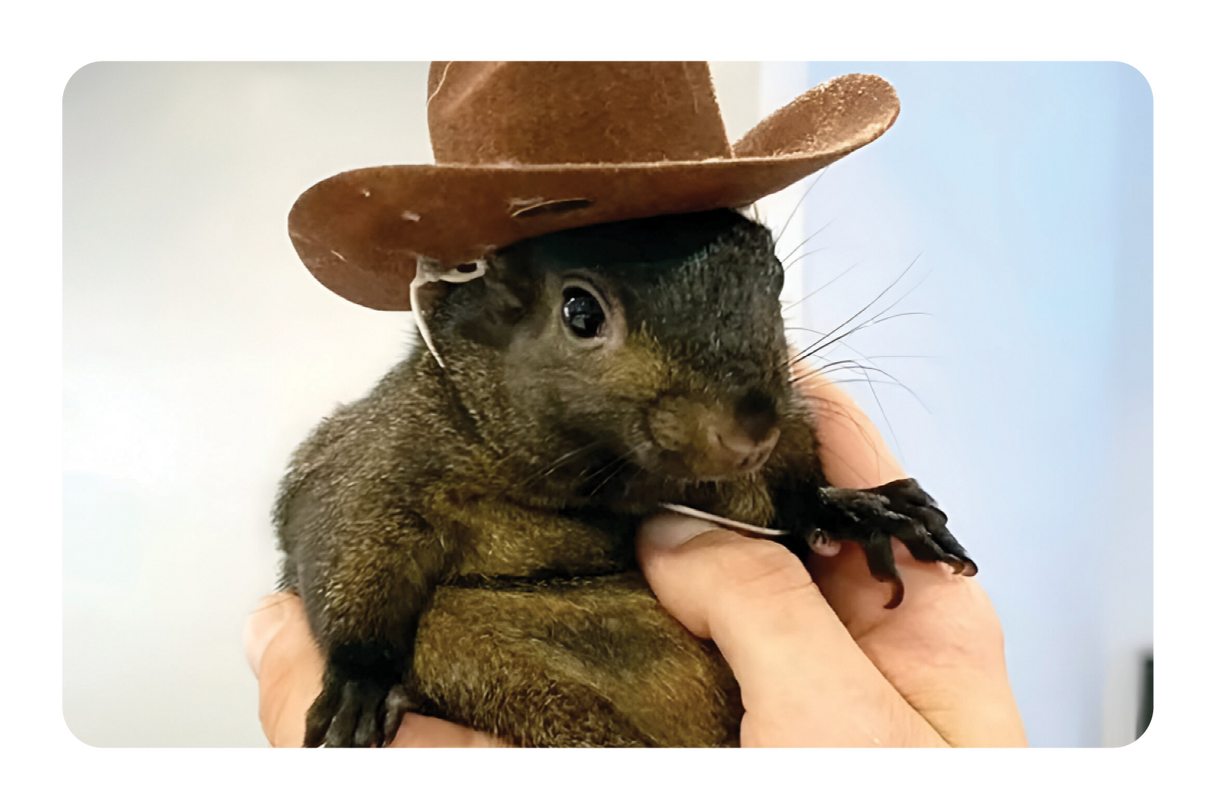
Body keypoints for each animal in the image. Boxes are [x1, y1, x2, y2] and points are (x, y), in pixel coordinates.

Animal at [275, 205, 976, 748]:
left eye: (774, 277)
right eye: (580, 312)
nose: (751, 430)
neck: (607, 482)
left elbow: (792, 498)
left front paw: (854, 508)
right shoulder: (384, 453)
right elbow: (344, 535)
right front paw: (359, 682)